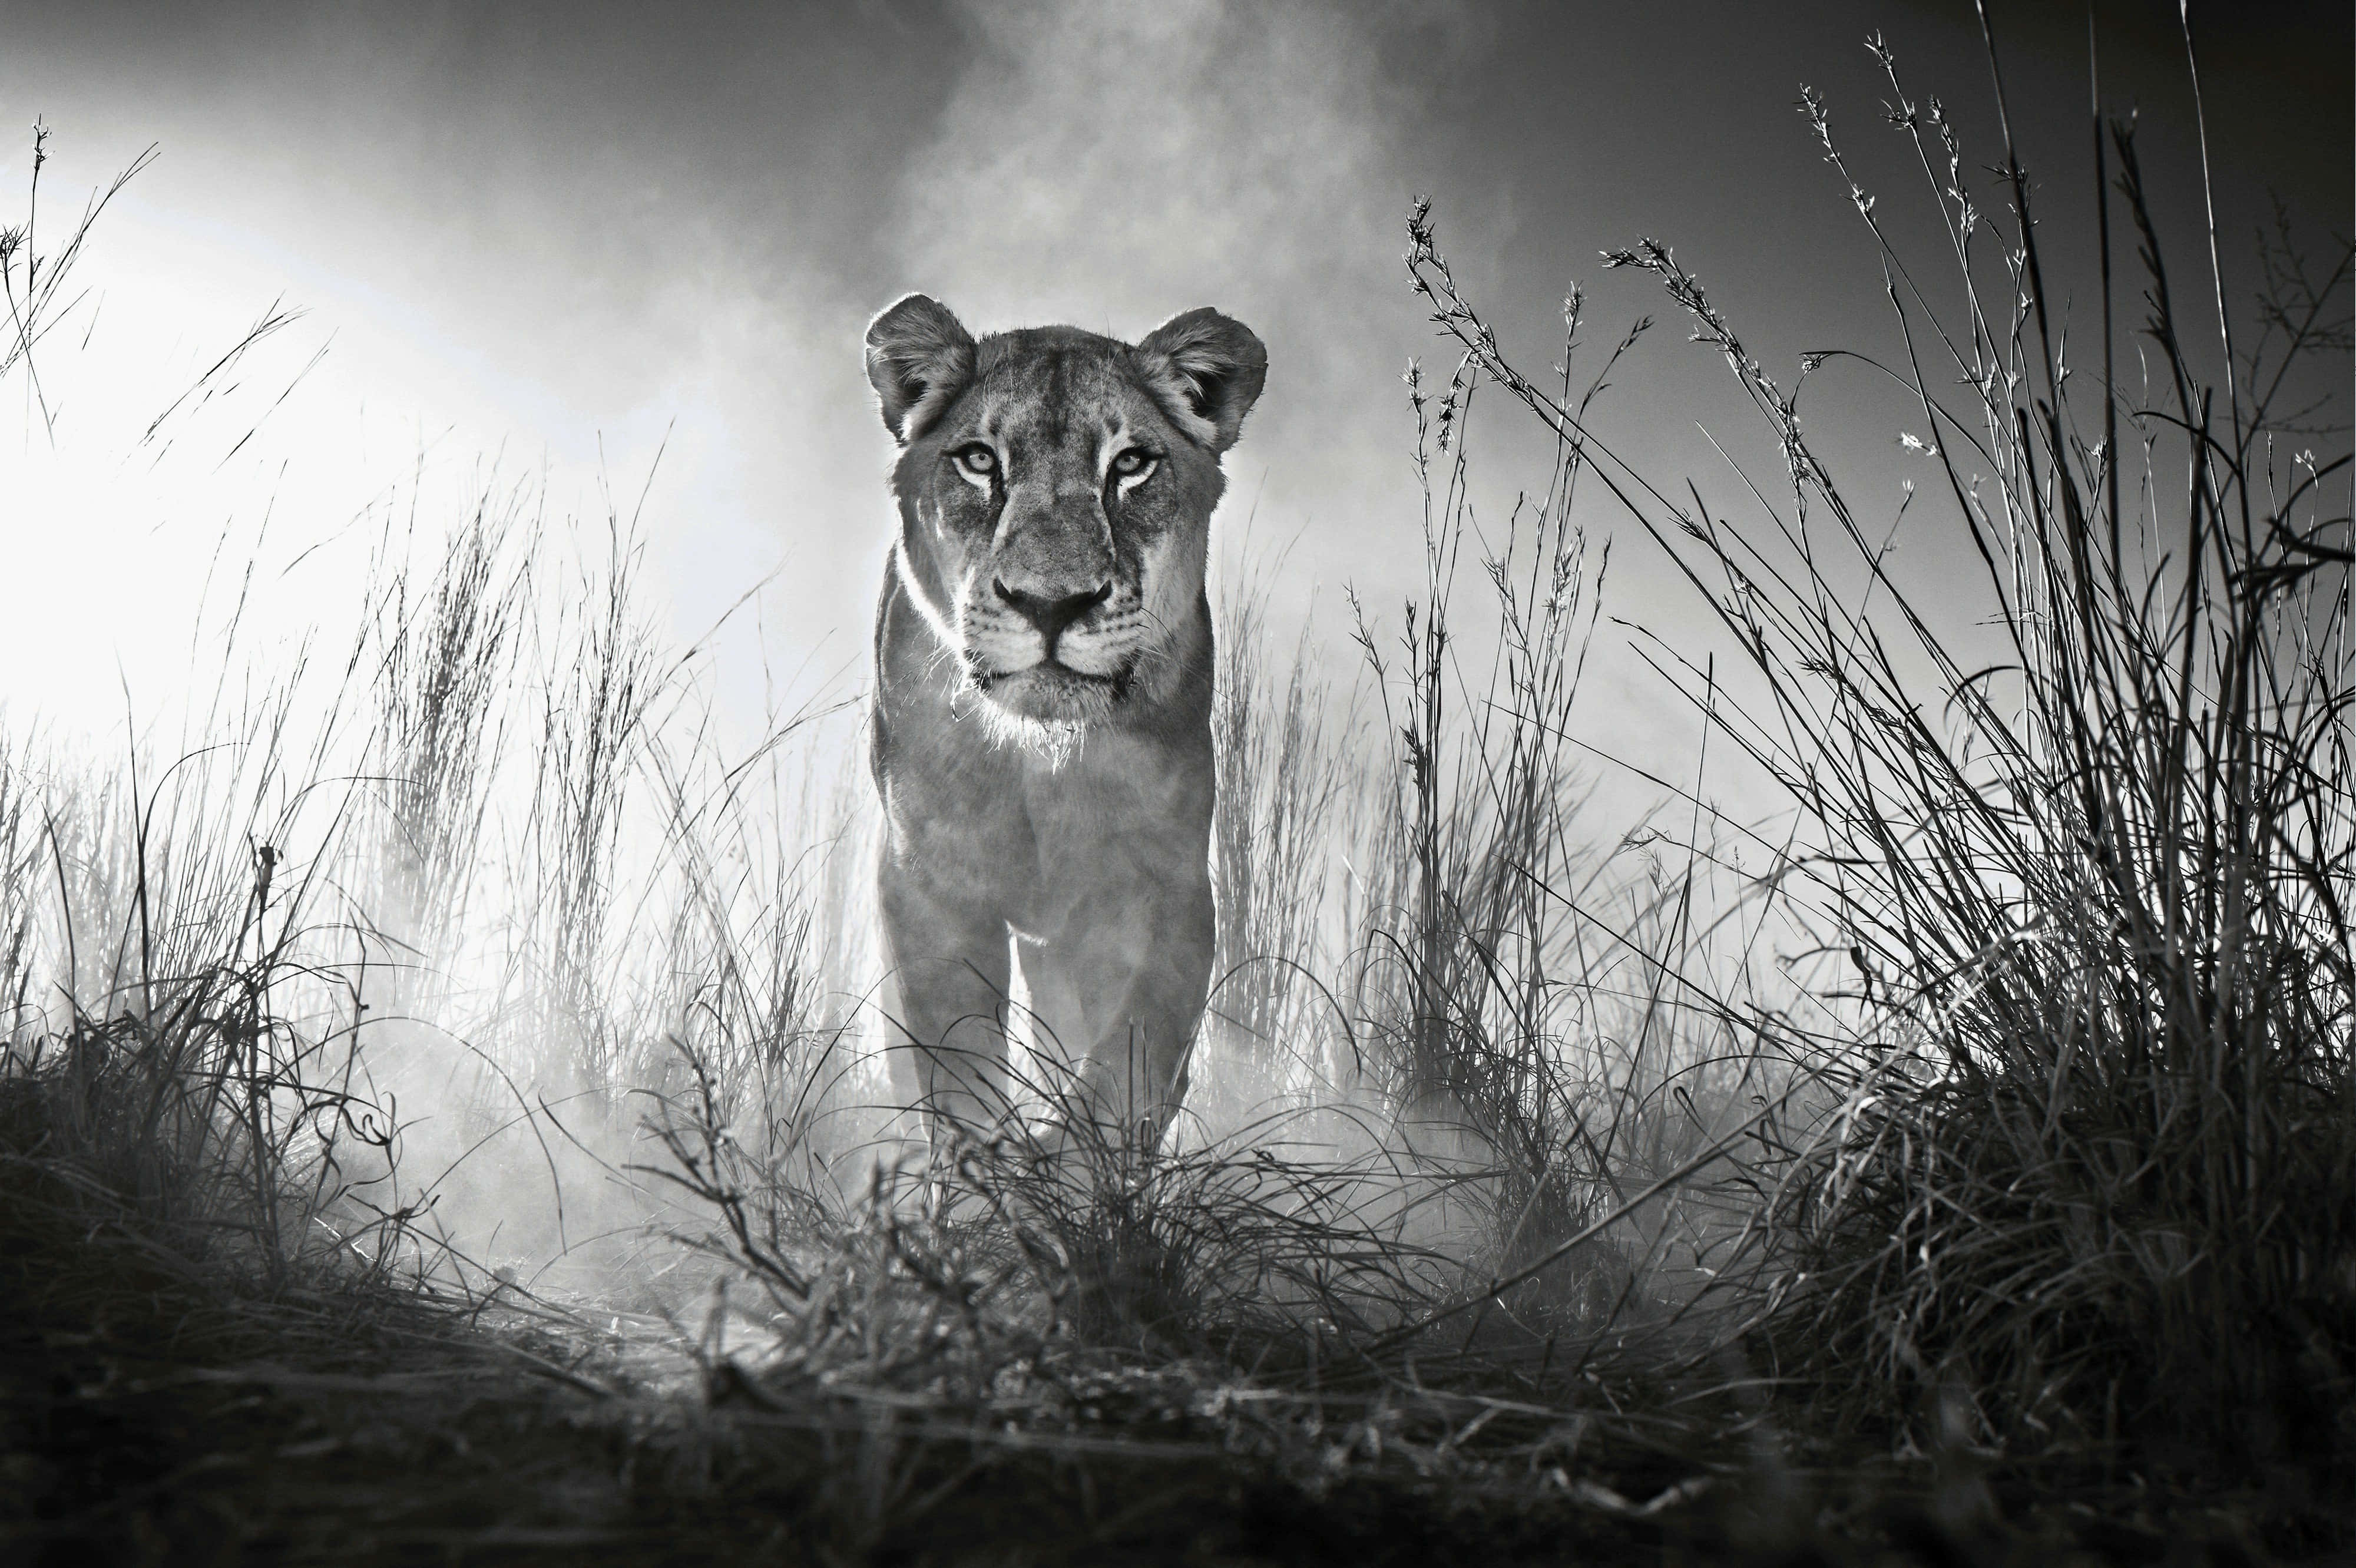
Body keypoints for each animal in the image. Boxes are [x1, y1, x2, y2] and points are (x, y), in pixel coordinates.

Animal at [862, 293, 1266, 1156]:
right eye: (979, 460)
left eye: (1131, 463)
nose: (1051, 604)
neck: (1040, 762)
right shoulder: (927, 880)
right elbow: (955, 1057)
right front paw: (984, 1169)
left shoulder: (1165, 884)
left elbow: (1132, 1054)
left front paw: (1071, 1163)